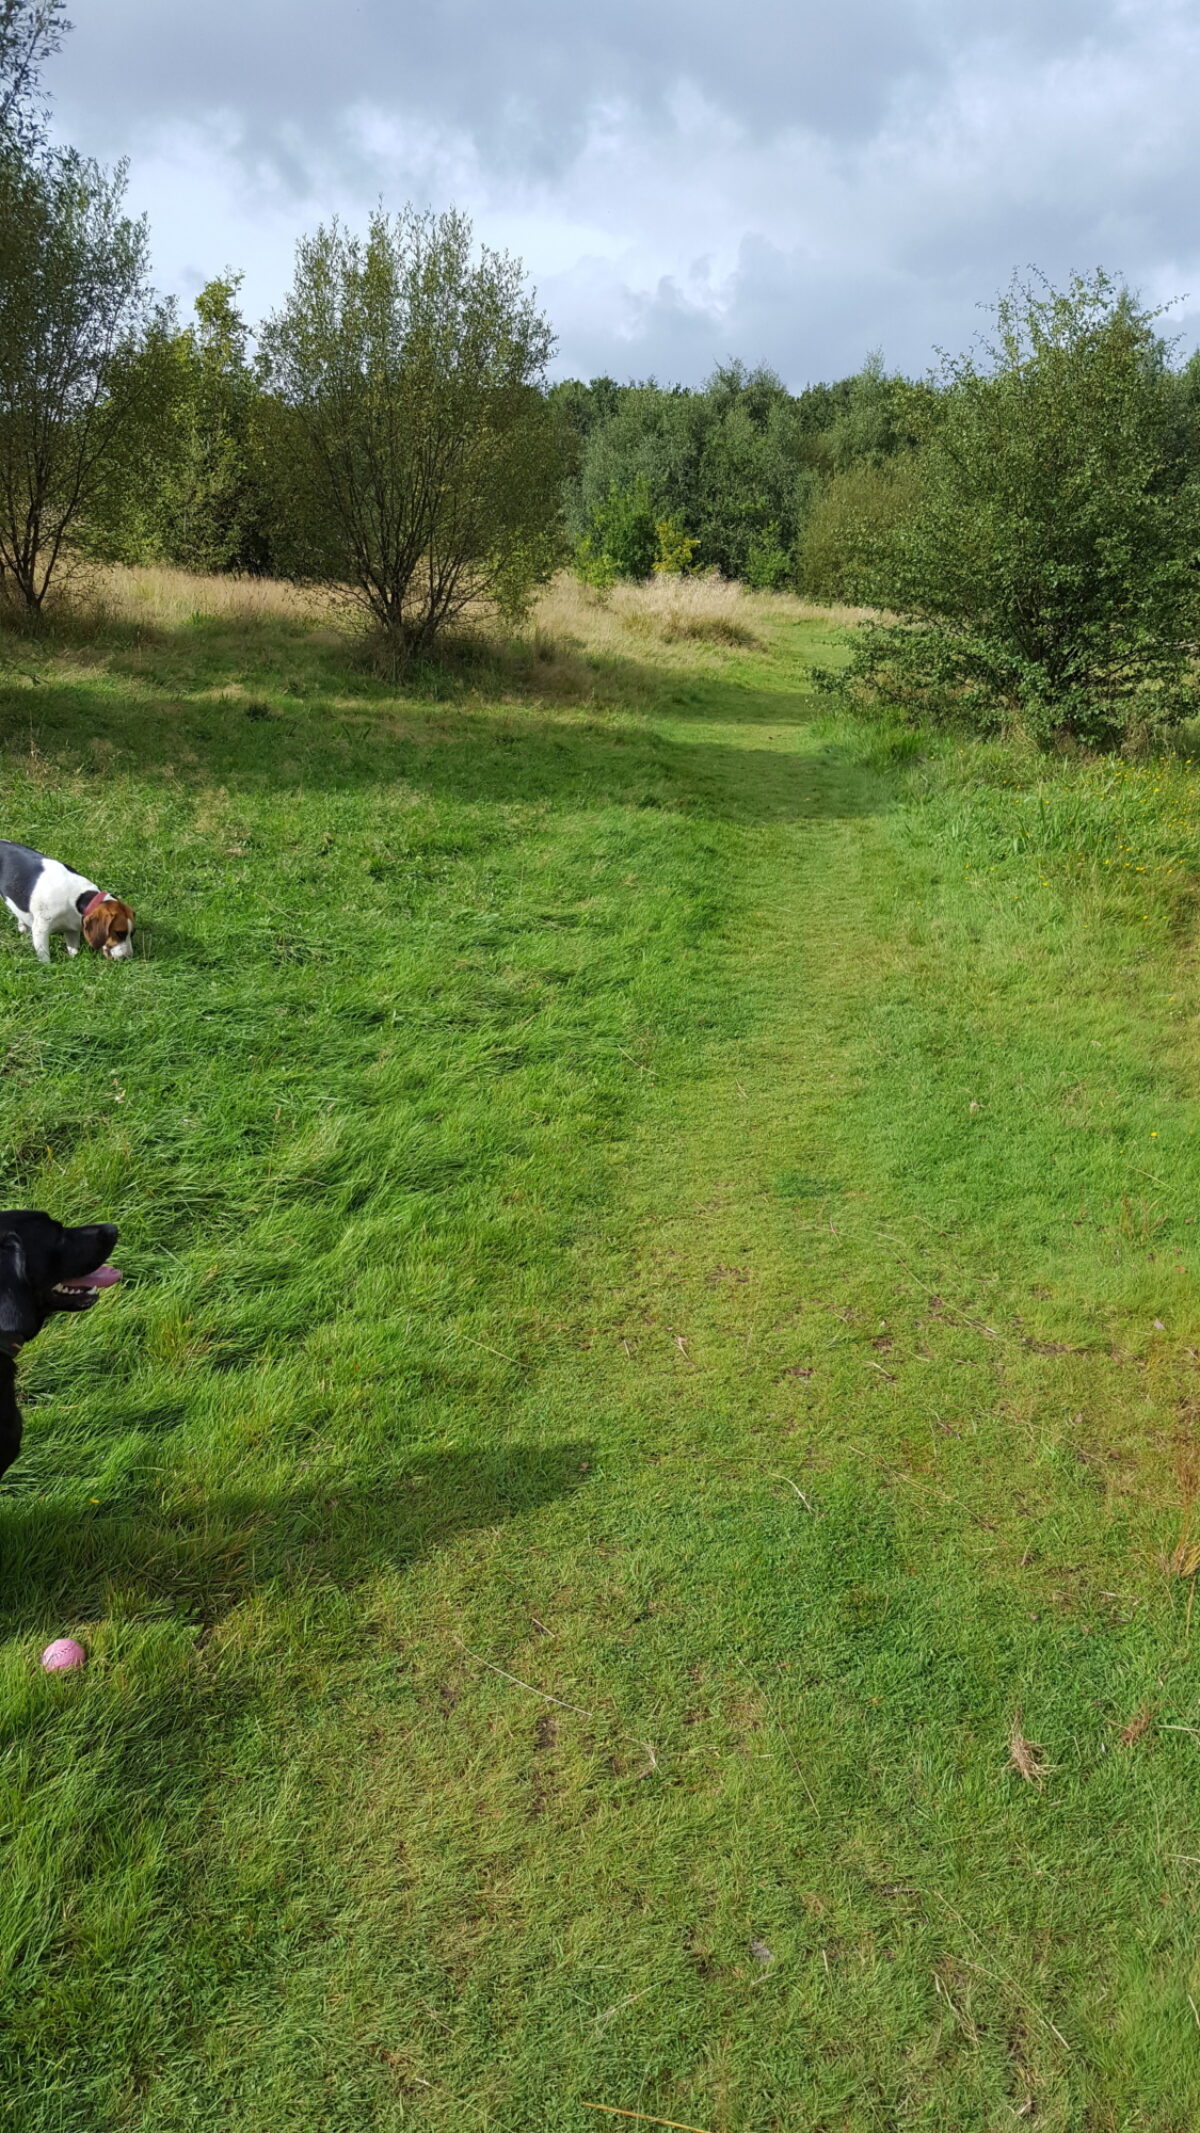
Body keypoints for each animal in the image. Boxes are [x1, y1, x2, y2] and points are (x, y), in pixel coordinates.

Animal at [0, 840, 136, 968]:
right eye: (120, 933)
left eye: (132, 933)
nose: (129, 958)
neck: (77, 899)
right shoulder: (41, 929)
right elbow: (45, 957)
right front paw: (47, 970)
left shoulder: (72, 929)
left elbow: (73, 950)